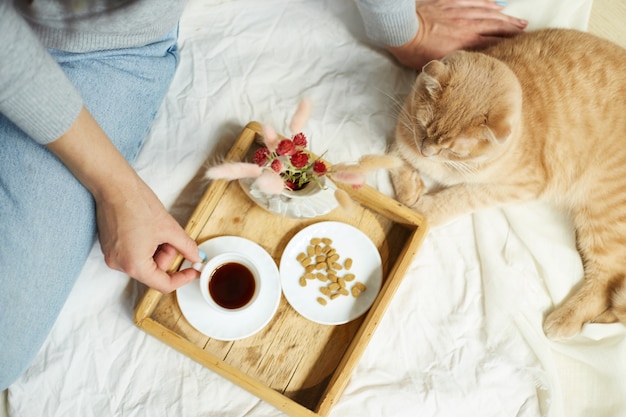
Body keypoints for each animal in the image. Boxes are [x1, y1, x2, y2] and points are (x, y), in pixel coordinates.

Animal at [390, 28, 624, 338]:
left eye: (453, 150)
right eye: (424, 127)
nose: (427, 151)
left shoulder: (519, 185)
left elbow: (461, 196)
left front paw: (424, 209)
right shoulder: (404, 131)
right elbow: (393, 153)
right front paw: (409, 189)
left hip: (602, 217)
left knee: (605, 282)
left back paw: (563, 322)